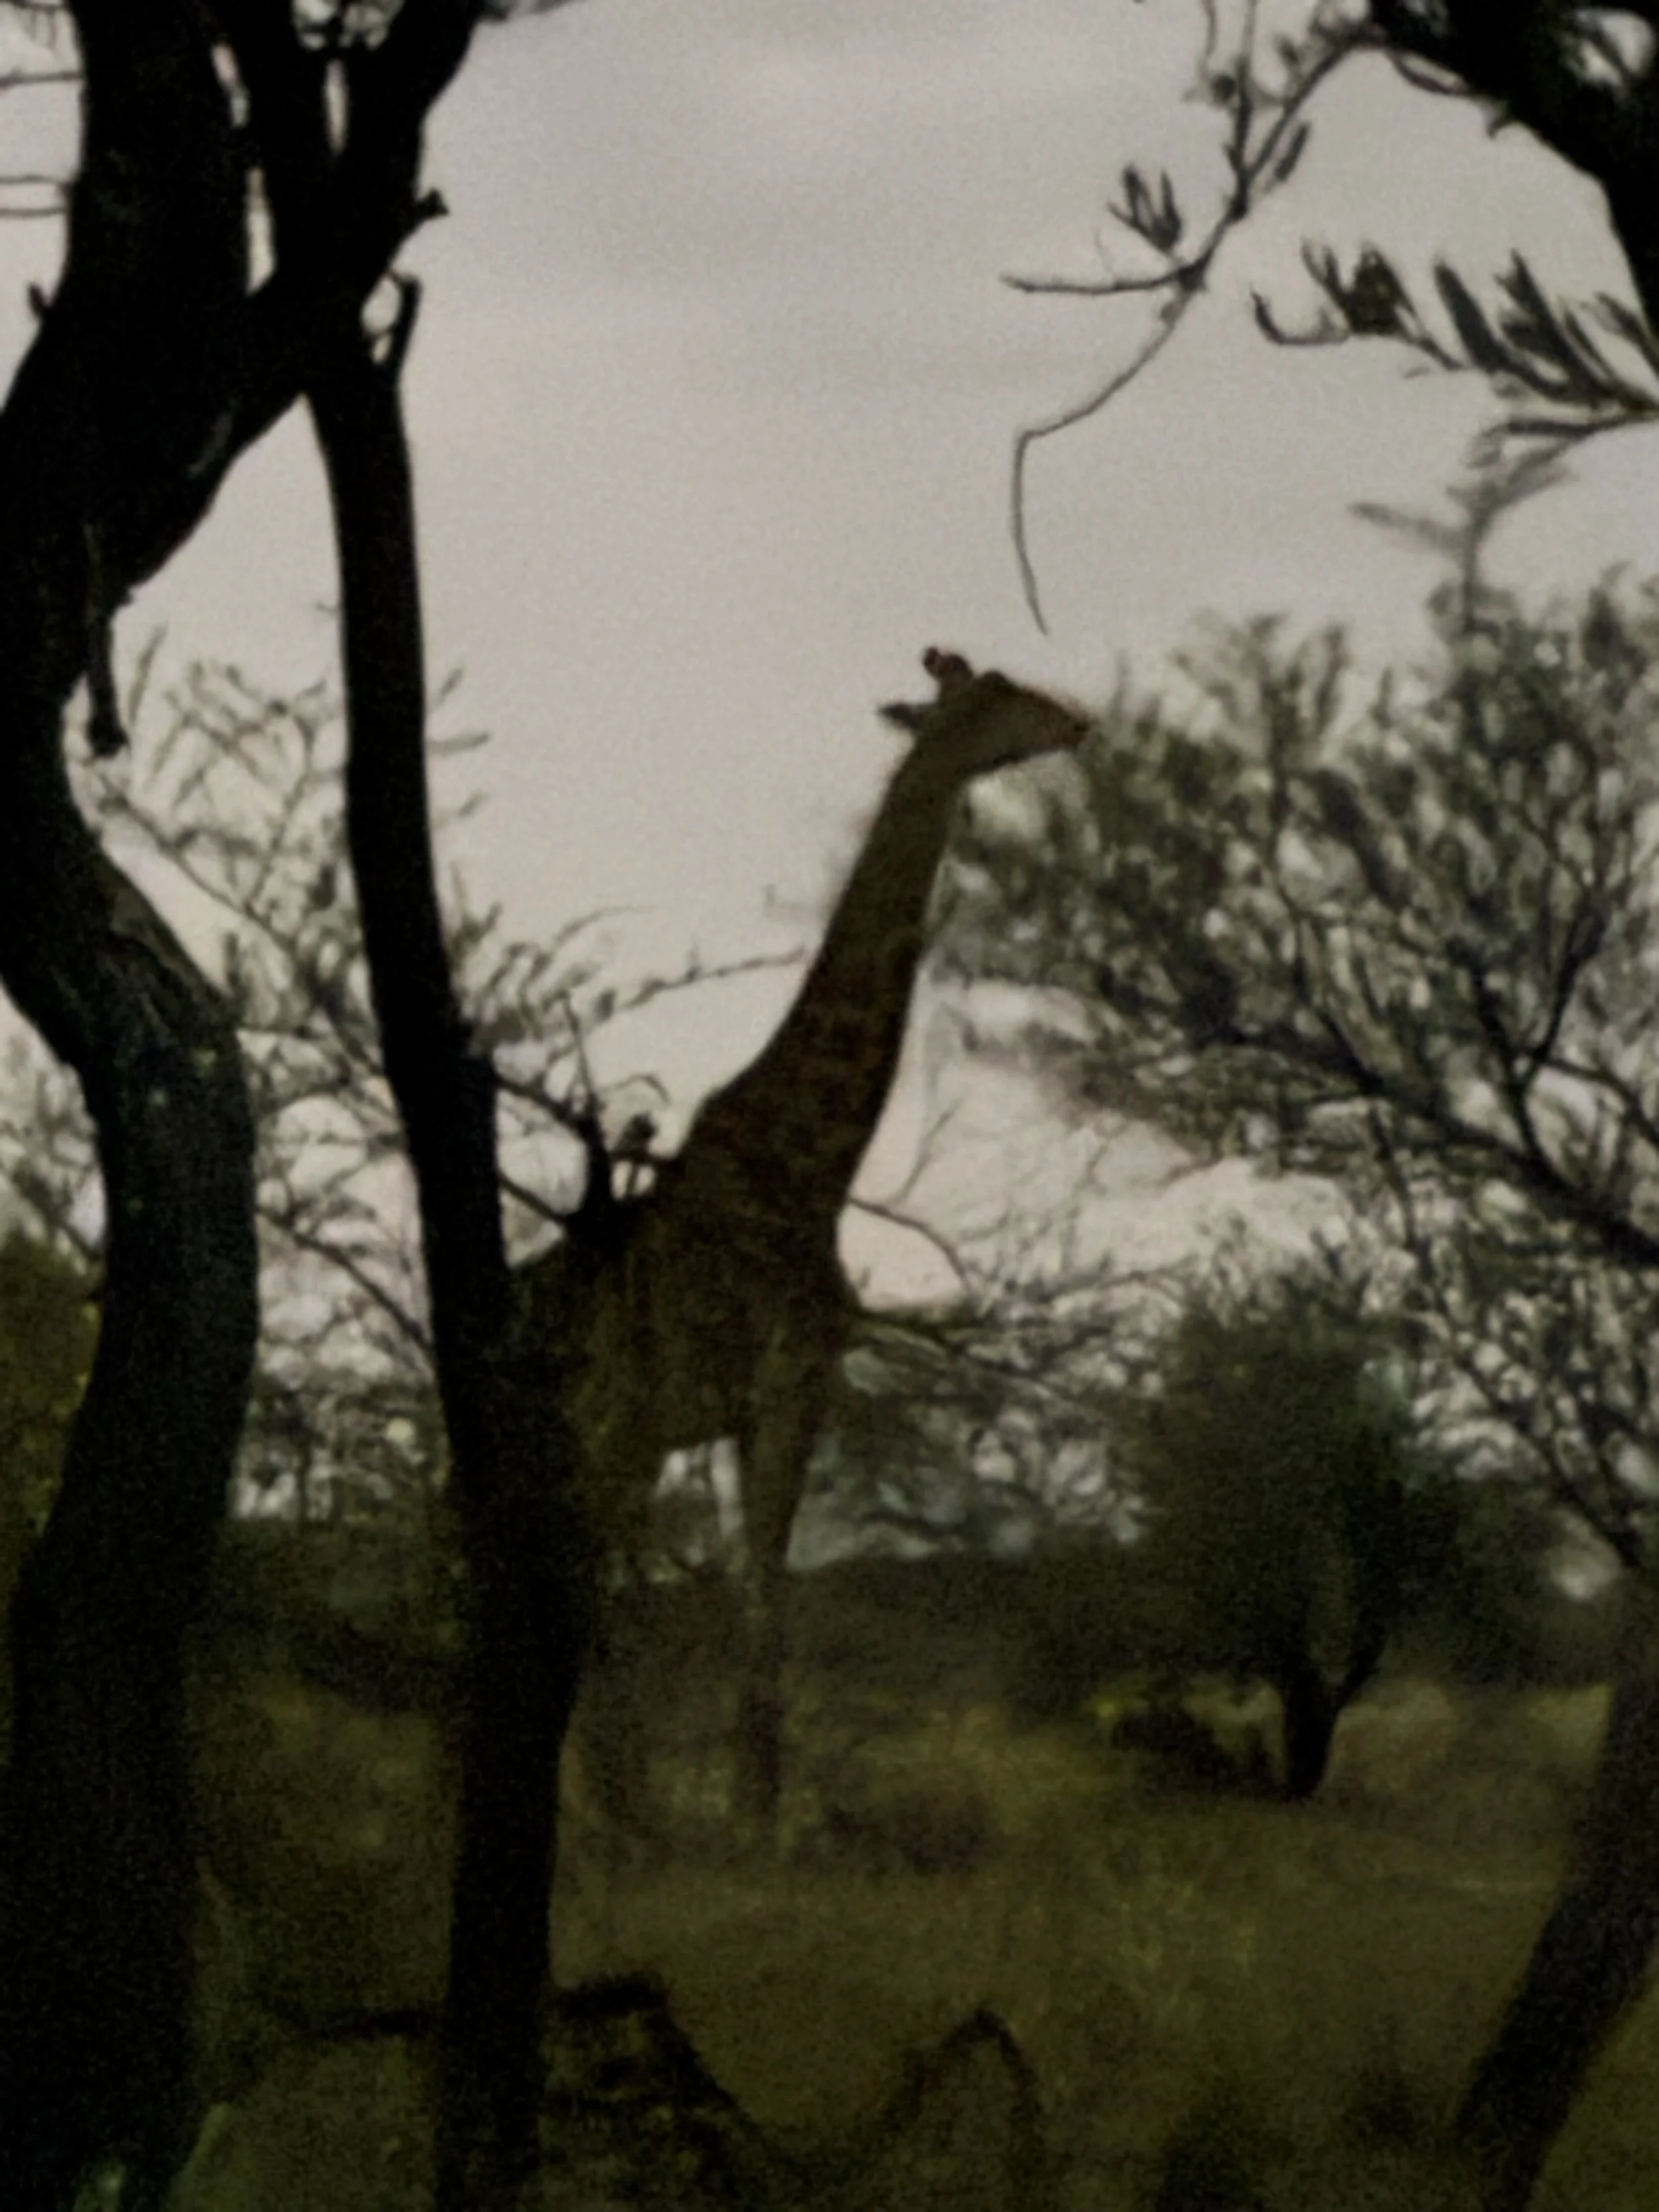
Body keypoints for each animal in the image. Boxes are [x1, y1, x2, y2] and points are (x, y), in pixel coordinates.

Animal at [519, 647, 1091, 1826]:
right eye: (999, 693)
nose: (1078, 723)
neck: (815, 1162)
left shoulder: (778, 1395)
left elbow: (764, 1591)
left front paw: (750, 1805)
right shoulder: (788, 1379)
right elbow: (763, 1601)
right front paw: (754, 1818)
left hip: (608, 1438)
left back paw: (610, 1797)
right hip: (602, 1429)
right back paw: (601, 1803)